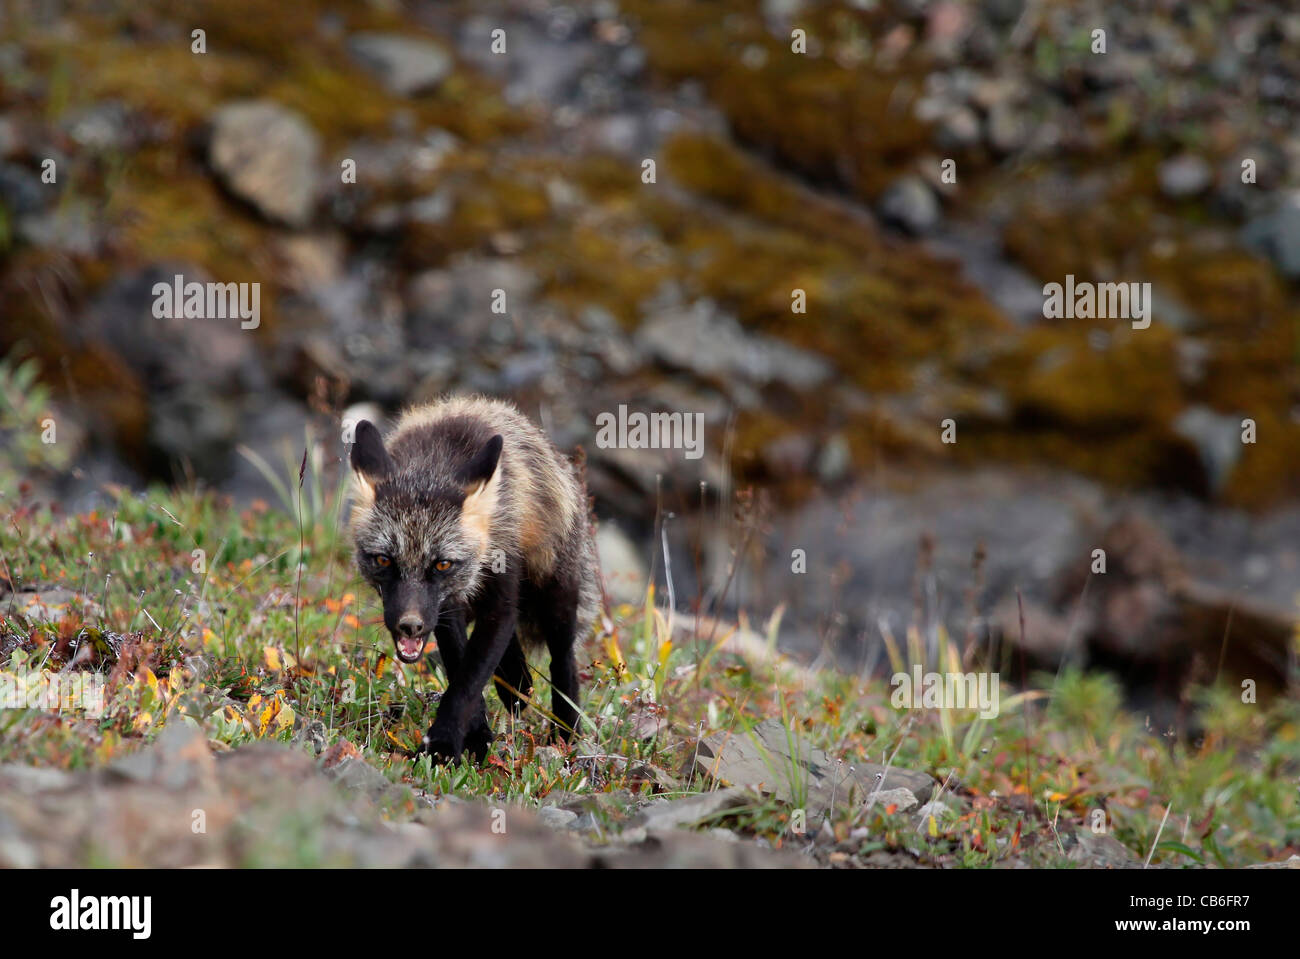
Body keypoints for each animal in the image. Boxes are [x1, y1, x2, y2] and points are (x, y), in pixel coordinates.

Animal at [351, 392, 603, 758]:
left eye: (441, 564)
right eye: (384, 560)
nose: (409, 626)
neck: (432, 468)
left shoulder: (500, 594)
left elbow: (468, 681)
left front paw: (444, 743)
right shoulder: (446, 608)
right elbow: (462, 666)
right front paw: (475, 734)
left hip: (555, 597)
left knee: (563, 660)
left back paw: (567, 731)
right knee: (514, 666)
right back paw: (517, 682)